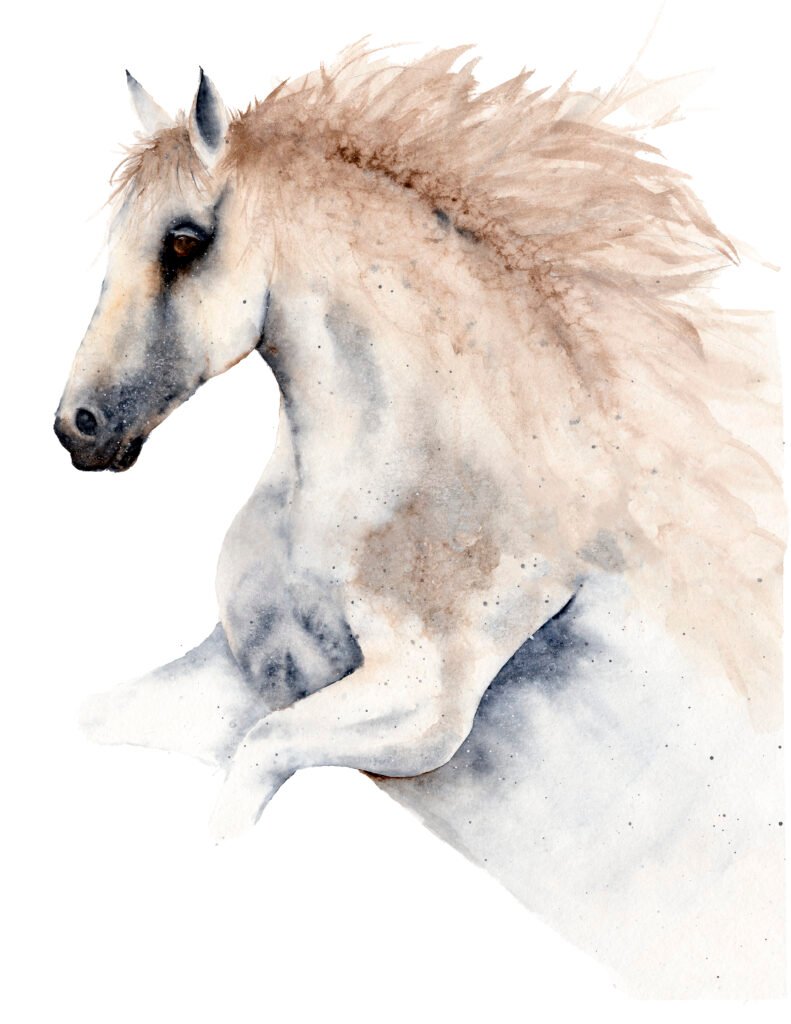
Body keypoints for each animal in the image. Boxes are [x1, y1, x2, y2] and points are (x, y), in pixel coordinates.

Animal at [54, 45, 784, 997]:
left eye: (184, 240)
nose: (77, 426)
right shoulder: (241, 673)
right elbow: (97, 718)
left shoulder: (416, 710)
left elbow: (248, 771)